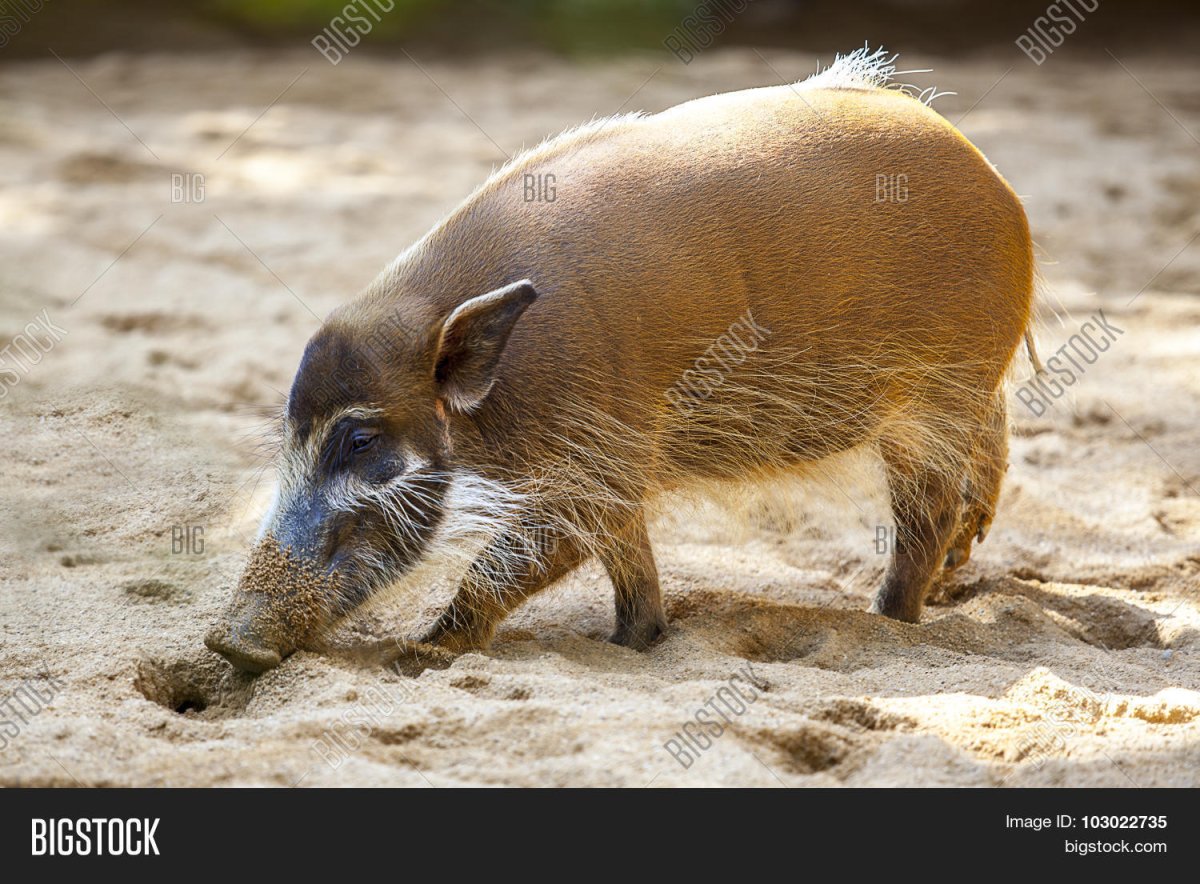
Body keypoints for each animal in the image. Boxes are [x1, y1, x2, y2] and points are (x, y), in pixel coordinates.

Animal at [206, 48, 1035, 674]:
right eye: (290, 436)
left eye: (360, 440)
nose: (227, 641)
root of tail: (999, 181)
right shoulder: (616, 466)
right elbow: (626, 554)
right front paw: (637, 641)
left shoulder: (597, 456)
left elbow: (527, 554)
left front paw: (421, 654)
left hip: (937, 396)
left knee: (926, 512)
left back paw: (892, 617)